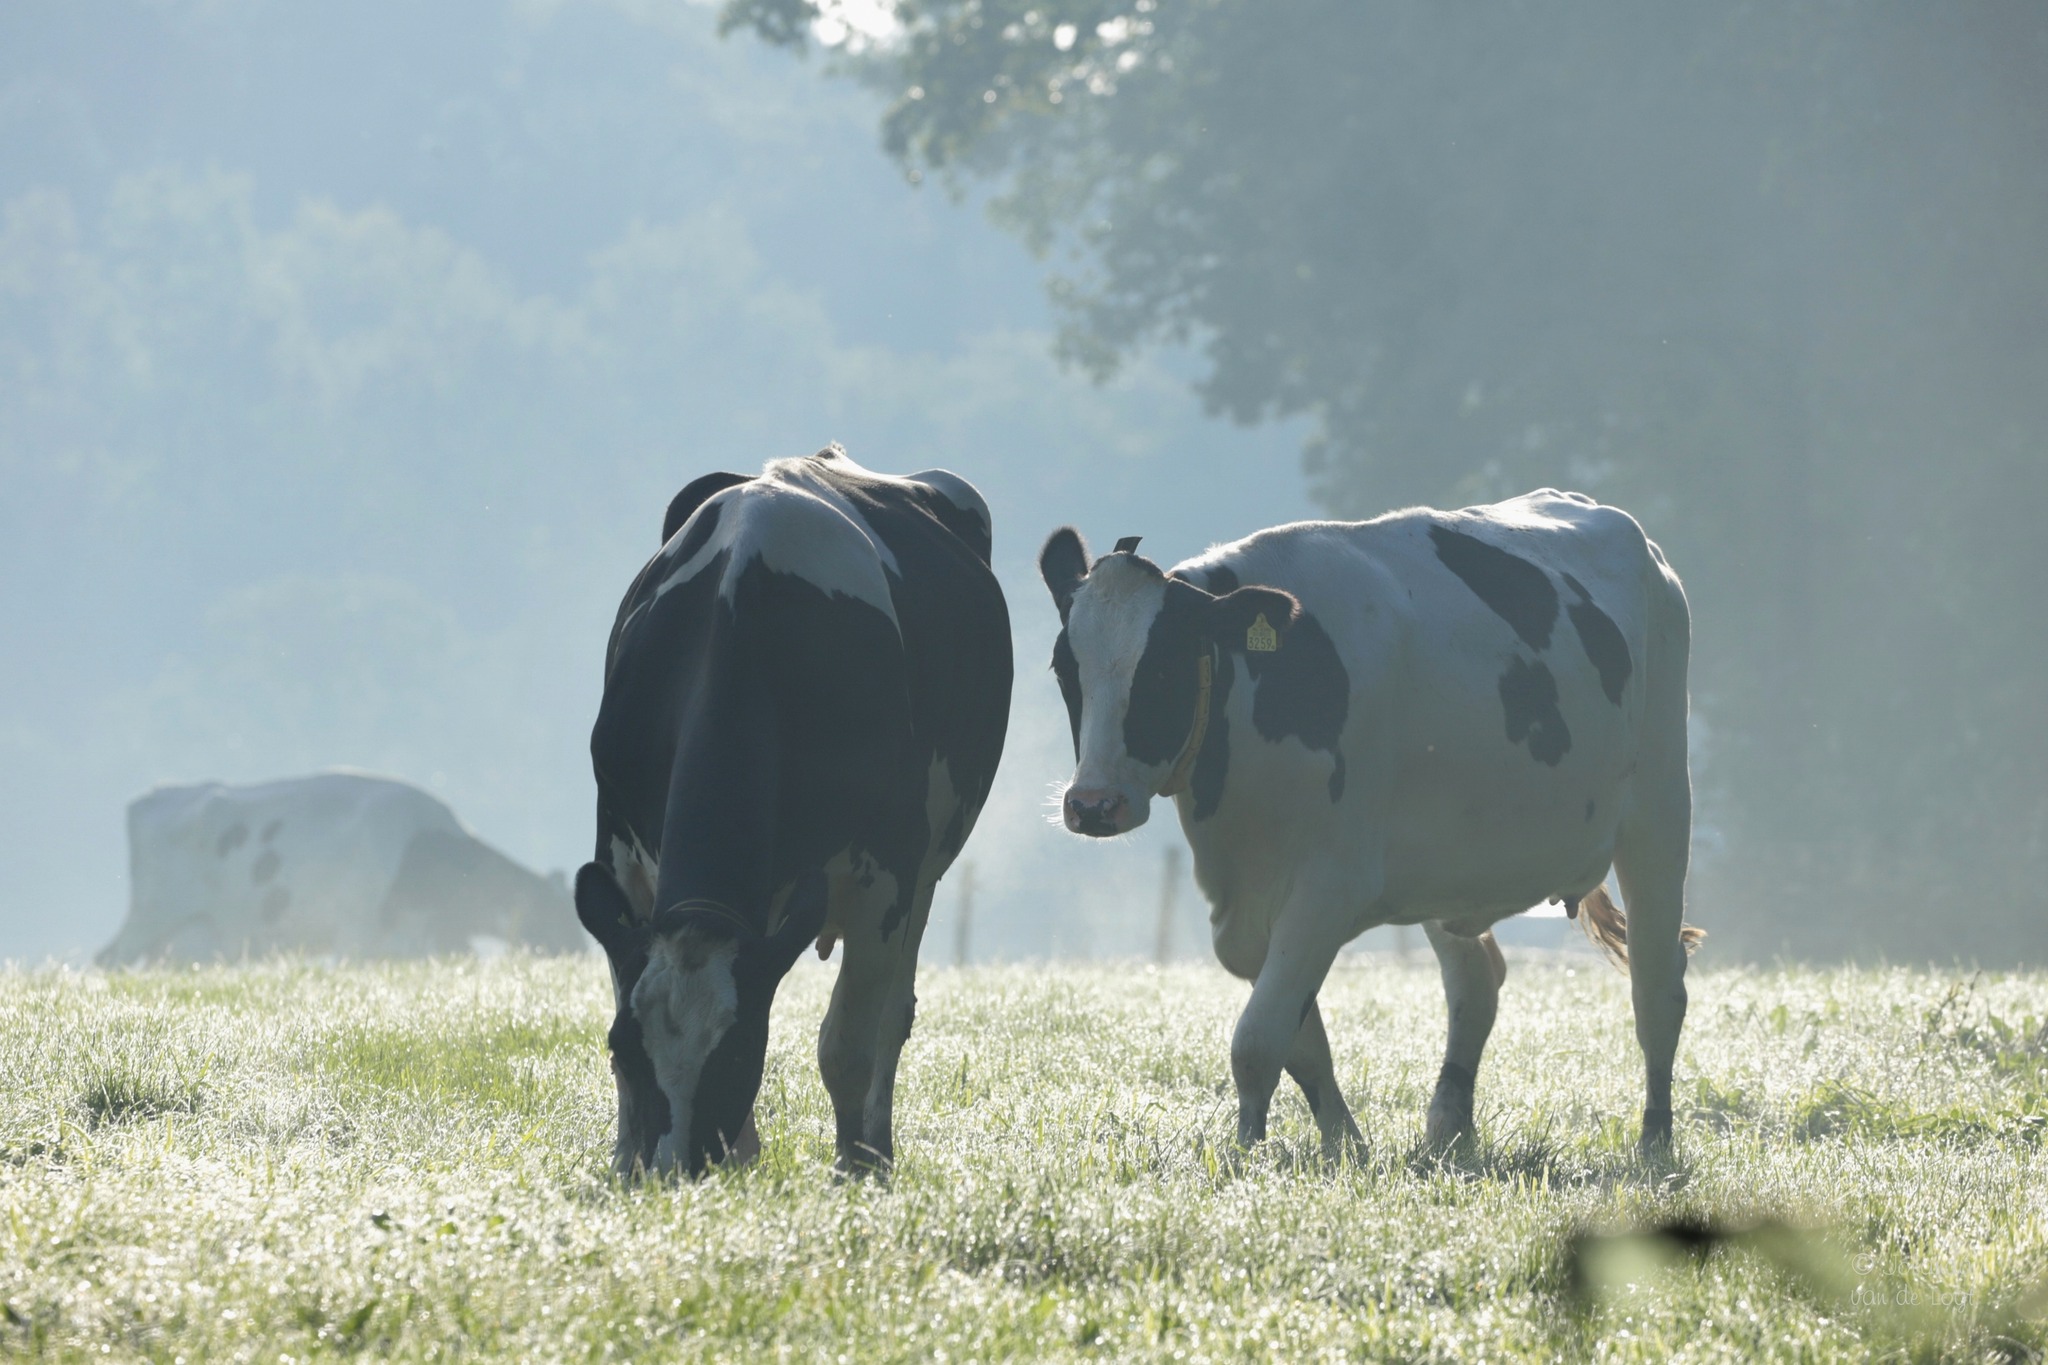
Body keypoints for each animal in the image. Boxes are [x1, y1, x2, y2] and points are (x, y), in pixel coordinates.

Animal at [97, 773, 585, 965]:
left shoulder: (435, 935)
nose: (580, 953)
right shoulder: (358, 933)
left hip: (184, 937)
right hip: (149, 917)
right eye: (551, 915)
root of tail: (154, 796)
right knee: (111, 960)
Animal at [573, 446, 1011, 1178]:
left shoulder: (888, 873)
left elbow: (849, 1044)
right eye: (621, 1048)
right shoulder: (623, 860)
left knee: (894, 1015)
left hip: (929, 866)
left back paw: (877, 1148)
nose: (673, 1171)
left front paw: (856, 1169)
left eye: (739, 1055)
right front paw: (632, 1157)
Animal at [1040, 491, 1695, 1154]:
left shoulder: (1327, 887)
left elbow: (1257, 1043)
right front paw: (1345, 1147)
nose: (1092, 804)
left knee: (1657, 987)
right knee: (1477, 983)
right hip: (1447, 862)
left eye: (1164, 668)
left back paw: (1655, 1141)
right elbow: (1301, 1045)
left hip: (1661, 809)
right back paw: (1449, 1129)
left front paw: (1248, 1153)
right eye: (1064, 669)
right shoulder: (1244, 905)